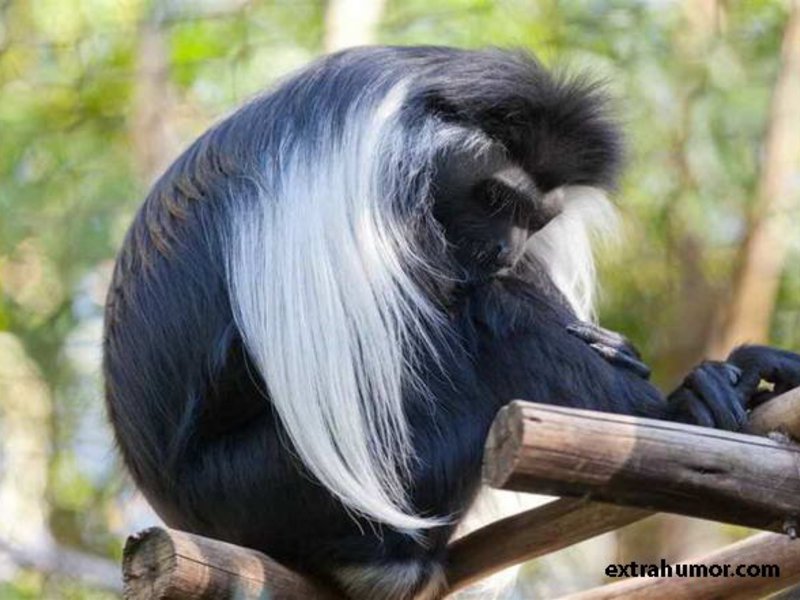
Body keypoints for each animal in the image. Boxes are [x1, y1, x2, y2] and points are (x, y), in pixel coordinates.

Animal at [103, 46, 800, 599]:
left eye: (534, 218)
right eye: (492, 197)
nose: (504, 248)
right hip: (272, 484)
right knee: (485, 323)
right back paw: (690, 404)